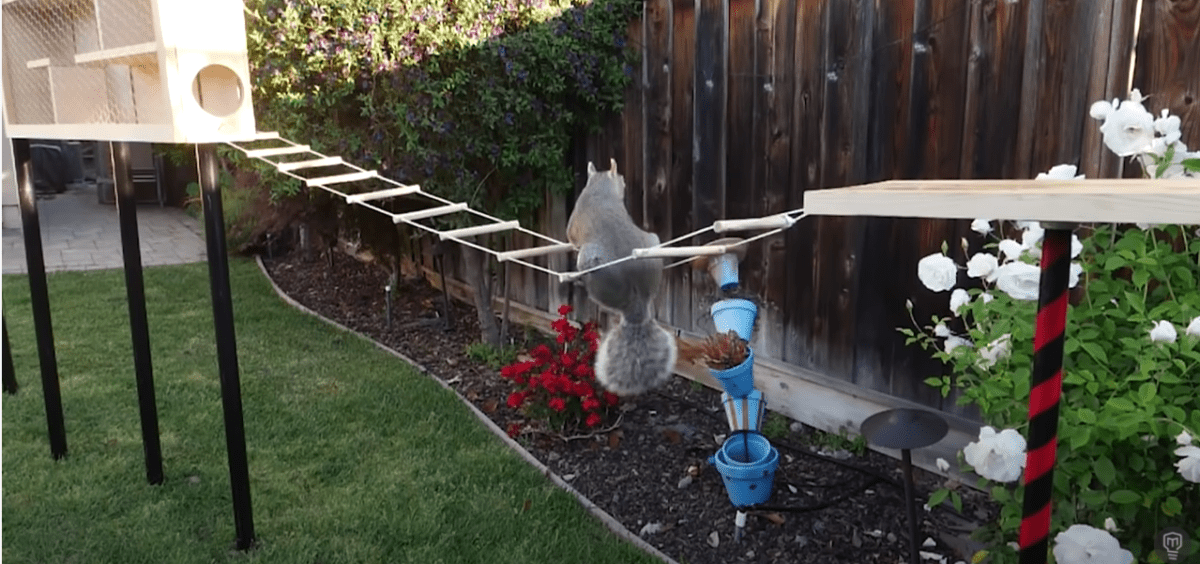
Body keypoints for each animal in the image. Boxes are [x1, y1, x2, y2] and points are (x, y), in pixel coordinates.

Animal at [567, 158, 677, 396]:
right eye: (622, 180)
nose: (625, 185)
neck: (599, 188)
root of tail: (636, 303)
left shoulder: (573, 227)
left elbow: (570, 238)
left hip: (589, 261)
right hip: (653, 243)